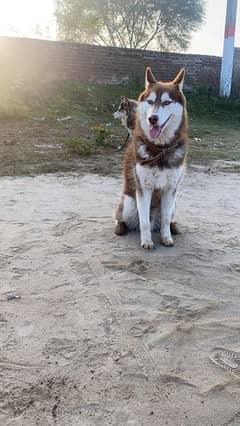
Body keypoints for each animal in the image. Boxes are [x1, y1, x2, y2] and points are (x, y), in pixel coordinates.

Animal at [115, 68, 188, 248]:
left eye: (167, 102)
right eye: (150, 101)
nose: (152, 118)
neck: (160, 149)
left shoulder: (170, 189)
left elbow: (166, 218)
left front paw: (166, 237)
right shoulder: (144, 188)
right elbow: (144, 222)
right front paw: (147, 241)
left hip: (175, 203)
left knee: (164, 220)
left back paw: (173, 227)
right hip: (128, 202)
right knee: (124, 219)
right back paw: (121, 227)